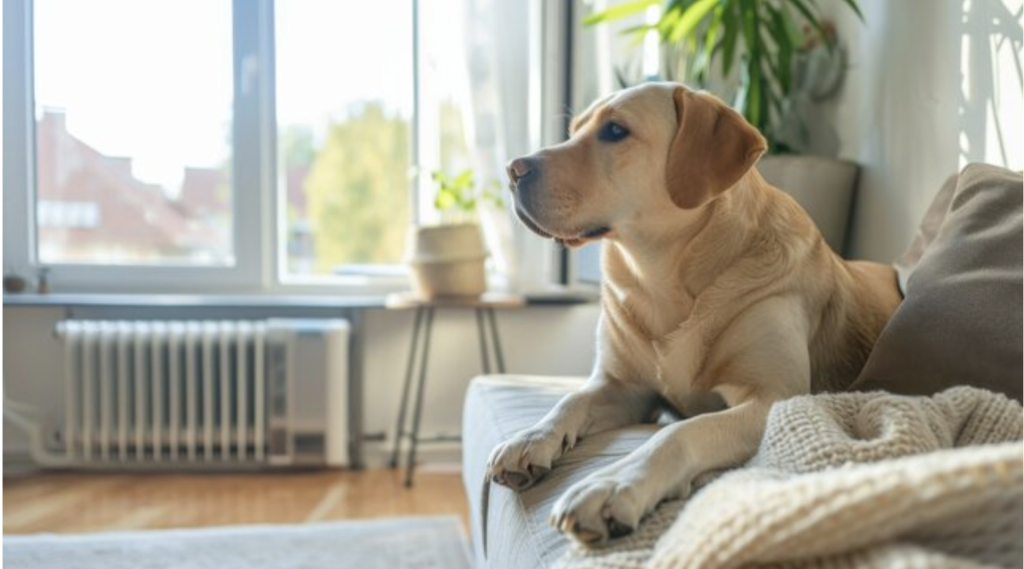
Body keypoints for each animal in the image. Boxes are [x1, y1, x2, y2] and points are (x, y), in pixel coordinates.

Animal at [491, 82, 901, 544]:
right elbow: (571, 399)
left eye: (615, 130)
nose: (512, 169)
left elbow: (682, 430)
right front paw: (531, 437)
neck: (665, 276)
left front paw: (613, 483)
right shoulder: (623, 388)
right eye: (574, 130)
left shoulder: (774, 398)